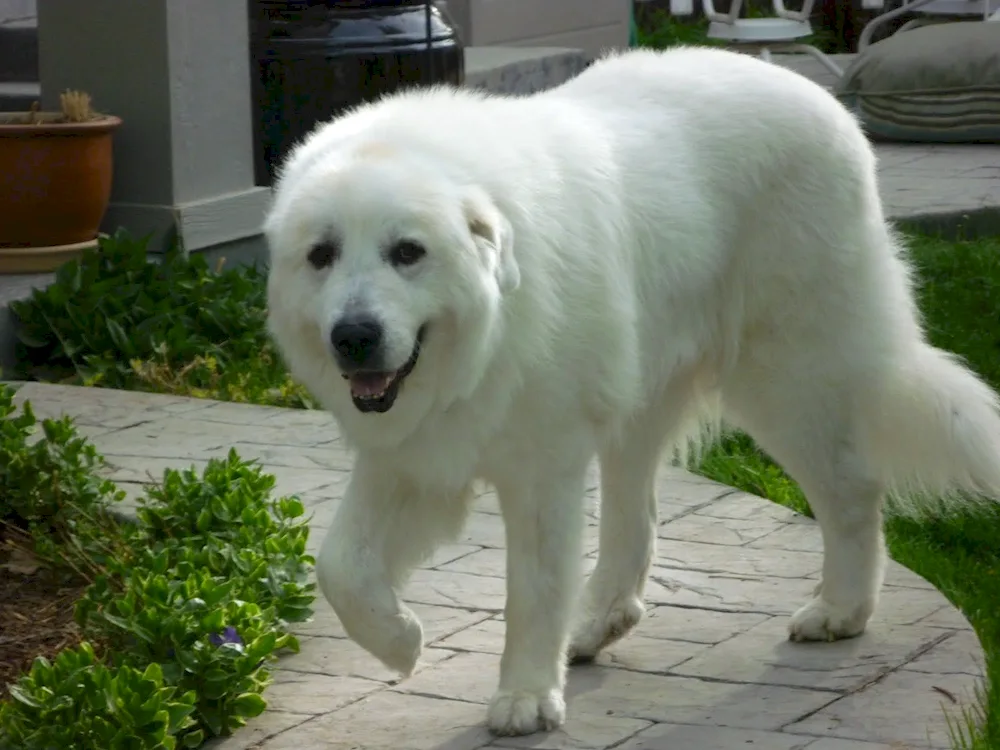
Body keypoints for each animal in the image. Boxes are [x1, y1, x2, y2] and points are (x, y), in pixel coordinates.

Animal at [264, 48, 1000, 740]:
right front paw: (402, 642)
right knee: (636, 517)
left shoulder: (541, 471)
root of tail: (822, 99)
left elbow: (533, 588)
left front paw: (525, 697)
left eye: (408, 252)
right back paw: (595, 626)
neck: (485, 334)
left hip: (785, 379)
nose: (353, 336)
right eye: (322, 255)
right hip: (642, 394)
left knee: (851, 490)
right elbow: (340, 567)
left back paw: (842, 611)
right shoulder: (412, 455)